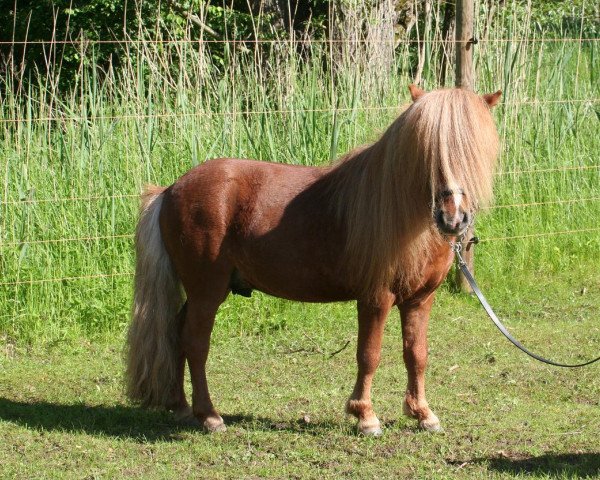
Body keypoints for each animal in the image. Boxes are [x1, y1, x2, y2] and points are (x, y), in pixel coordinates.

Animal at [126, 85, 502, 436]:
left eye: (474, 152)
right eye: (426, 151)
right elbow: (369, 355)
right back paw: (209, 416)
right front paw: (365, 416)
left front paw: (423, 414)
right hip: (207, 292)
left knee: (176, 333)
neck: (403, 216)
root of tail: (170, 190)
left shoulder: (420, 300)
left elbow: (417, 354)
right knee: (195, 342)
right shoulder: (375, 298)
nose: (453, 218)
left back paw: (180, 406)